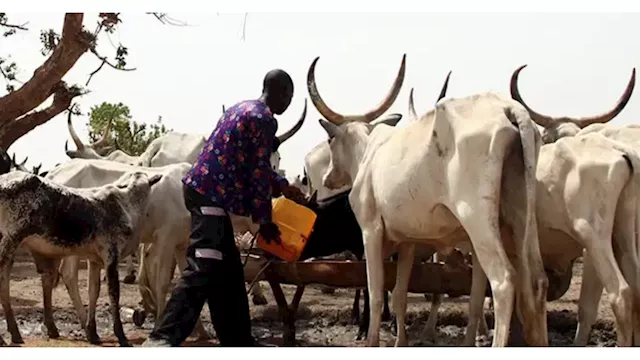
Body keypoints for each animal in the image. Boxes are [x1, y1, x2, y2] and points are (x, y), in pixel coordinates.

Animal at [0, 170, 162, 348]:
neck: (127, 205)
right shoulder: (111, 256)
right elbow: (113, 294)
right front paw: (121, 337)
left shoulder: (95, 260)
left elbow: (93, 291)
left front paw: (93, 333)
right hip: (10, 241)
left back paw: (17, 333)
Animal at [310, 52, 552, 346]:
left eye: (329, 141)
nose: (327, 179)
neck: (368, 153)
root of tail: (508, 109)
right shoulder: (407, 242)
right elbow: (400, 294)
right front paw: (400, 342)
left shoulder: (371, 231)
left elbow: (376, 294)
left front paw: (371, 340)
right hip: (520, 219)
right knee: (536, 281)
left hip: (477, 221)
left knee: (504, 281)